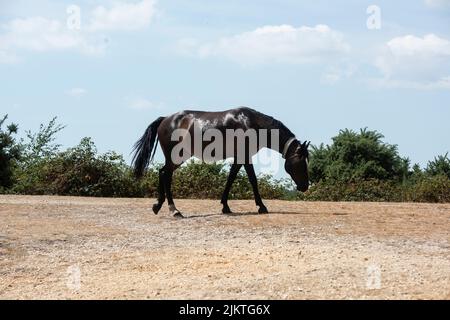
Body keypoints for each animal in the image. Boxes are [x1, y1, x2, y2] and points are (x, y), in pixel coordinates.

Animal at [131, 107, 310, 218]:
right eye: (302, 163)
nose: (305, 187)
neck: (251, 123)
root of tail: (165, 119)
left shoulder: (239, 157)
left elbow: (230, 178)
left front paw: (225, 206)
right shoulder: (245, 156)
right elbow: (253, 180)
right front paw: (262, 207)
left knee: (162, 173)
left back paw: (158, 206)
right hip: (176, 157)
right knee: (166, 175)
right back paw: (174, 210)